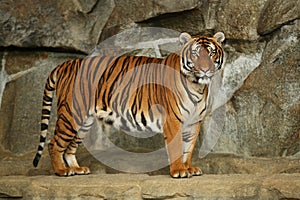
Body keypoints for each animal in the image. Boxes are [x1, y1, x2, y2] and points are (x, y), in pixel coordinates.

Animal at [33, 31, 225, 178]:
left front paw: (189, 168)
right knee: (54, 143)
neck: (197, 85)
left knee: (69, 147)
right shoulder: (172, 119)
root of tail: (67, 63)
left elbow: (188, 148)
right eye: (195, 54)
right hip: (72, 114)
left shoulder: (194, 122)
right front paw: (179, 171)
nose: (205, 69)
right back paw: (62, 171)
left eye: (211, 53)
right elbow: (177, 147)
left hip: (83, 121)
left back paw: (76, 169)